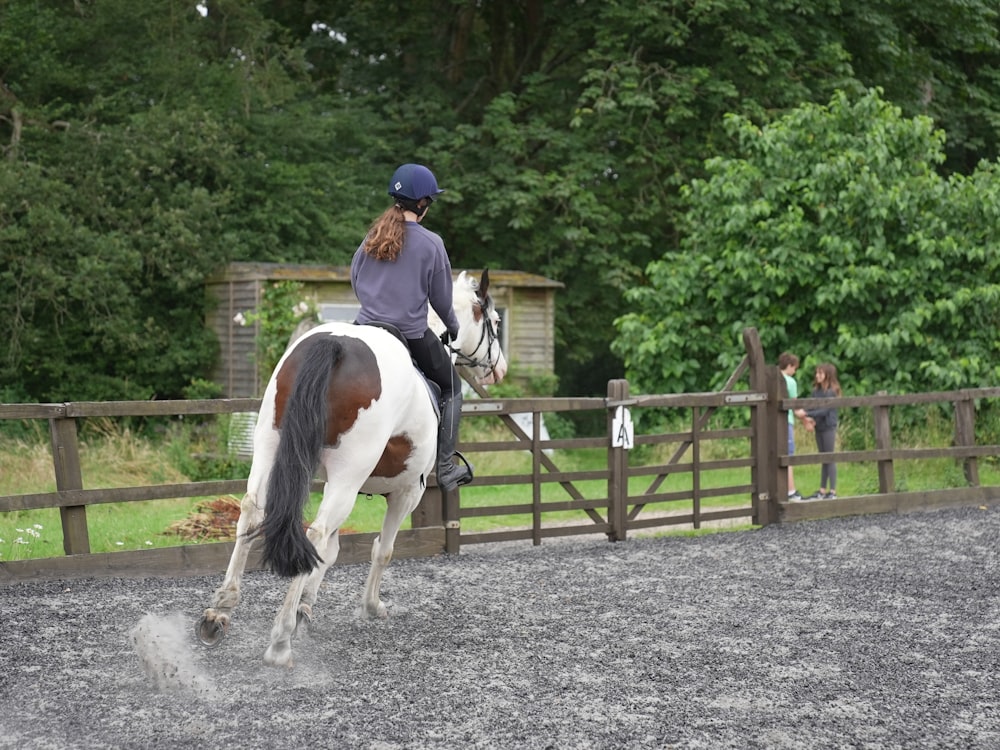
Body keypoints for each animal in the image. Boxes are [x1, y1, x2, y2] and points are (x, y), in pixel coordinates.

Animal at [196, 270, 508, 668]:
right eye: (494, 322)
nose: (500, 369)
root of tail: (334, 344)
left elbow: (330, 552)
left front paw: (305, 608)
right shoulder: (406, 491)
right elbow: (381, 549)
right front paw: (370, 606)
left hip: (272, 450)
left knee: (252, 512)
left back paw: (219, 612)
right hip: (350, 476)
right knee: (315, 532)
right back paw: (280, 641)